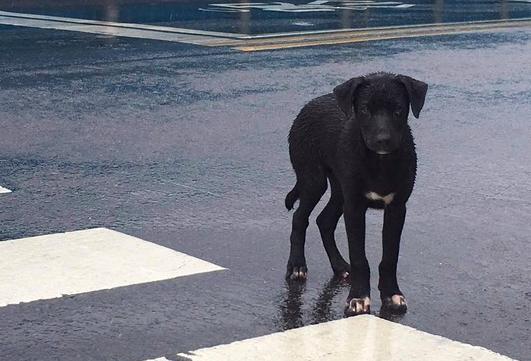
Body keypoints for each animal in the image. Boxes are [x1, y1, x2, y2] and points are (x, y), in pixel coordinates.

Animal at [286, 71, 428, 314]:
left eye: (398, 109)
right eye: (364, 109)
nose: (383, 140)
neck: (380, 162)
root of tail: (308, 105)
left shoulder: (397, 207)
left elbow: (390, 256)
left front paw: (392, 294)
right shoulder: (355, 207)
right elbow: (359, 256)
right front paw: (358, 298)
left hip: (339, 189)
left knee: (324, 220)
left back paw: (340, 266)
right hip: (313, 179)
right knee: (299, 218)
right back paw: (297, 266)